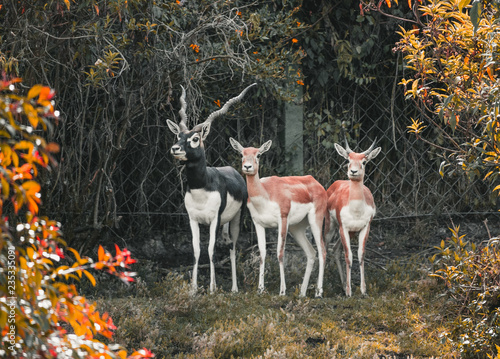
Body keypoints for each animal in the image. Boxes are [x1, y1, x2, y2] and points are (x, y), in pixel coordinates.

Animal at [167, 83, 256, 296]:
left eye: (195, 138)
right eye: (178, 135)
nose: (175, 149)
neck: (202, 187)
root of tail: (233, 170)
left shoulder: (214, 219)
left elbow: (211, 250)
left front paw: (213, 288)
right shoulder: (193, 220)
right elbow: (197, 250)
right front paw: (193, 289)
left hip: (236, 219)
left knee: (232, 247)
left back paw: (234, 288)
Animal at [229, 139, 328, 298]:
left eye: (258, 155)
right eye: (242, 153)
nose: (247, 167)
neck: (266, 194)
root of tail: (317, 184)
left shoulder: (283, 220)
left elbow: (280, 253)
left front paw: (282, 291)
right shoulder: (258, 223)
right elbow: (262, 253)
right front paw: (260, 289)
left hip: (315, 221)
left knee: (322, 251)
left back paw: (318, 293)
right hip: (296, 228)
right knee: (311, 253)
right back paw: (302, 293)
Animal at [326, 139, 380, 296]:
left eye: (364, 161)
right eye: (348, 160)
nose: (353, 172)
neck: (355, 210)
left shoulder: (365, 228)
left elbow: (360, 255)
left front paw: (363, 290)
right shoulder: (343, 228)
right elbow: (349, 256)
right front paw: (349, 292)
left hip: (350, 232)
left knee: (335, 249)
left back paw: (343, 285)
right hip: (331, 227)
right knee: (325, 248)